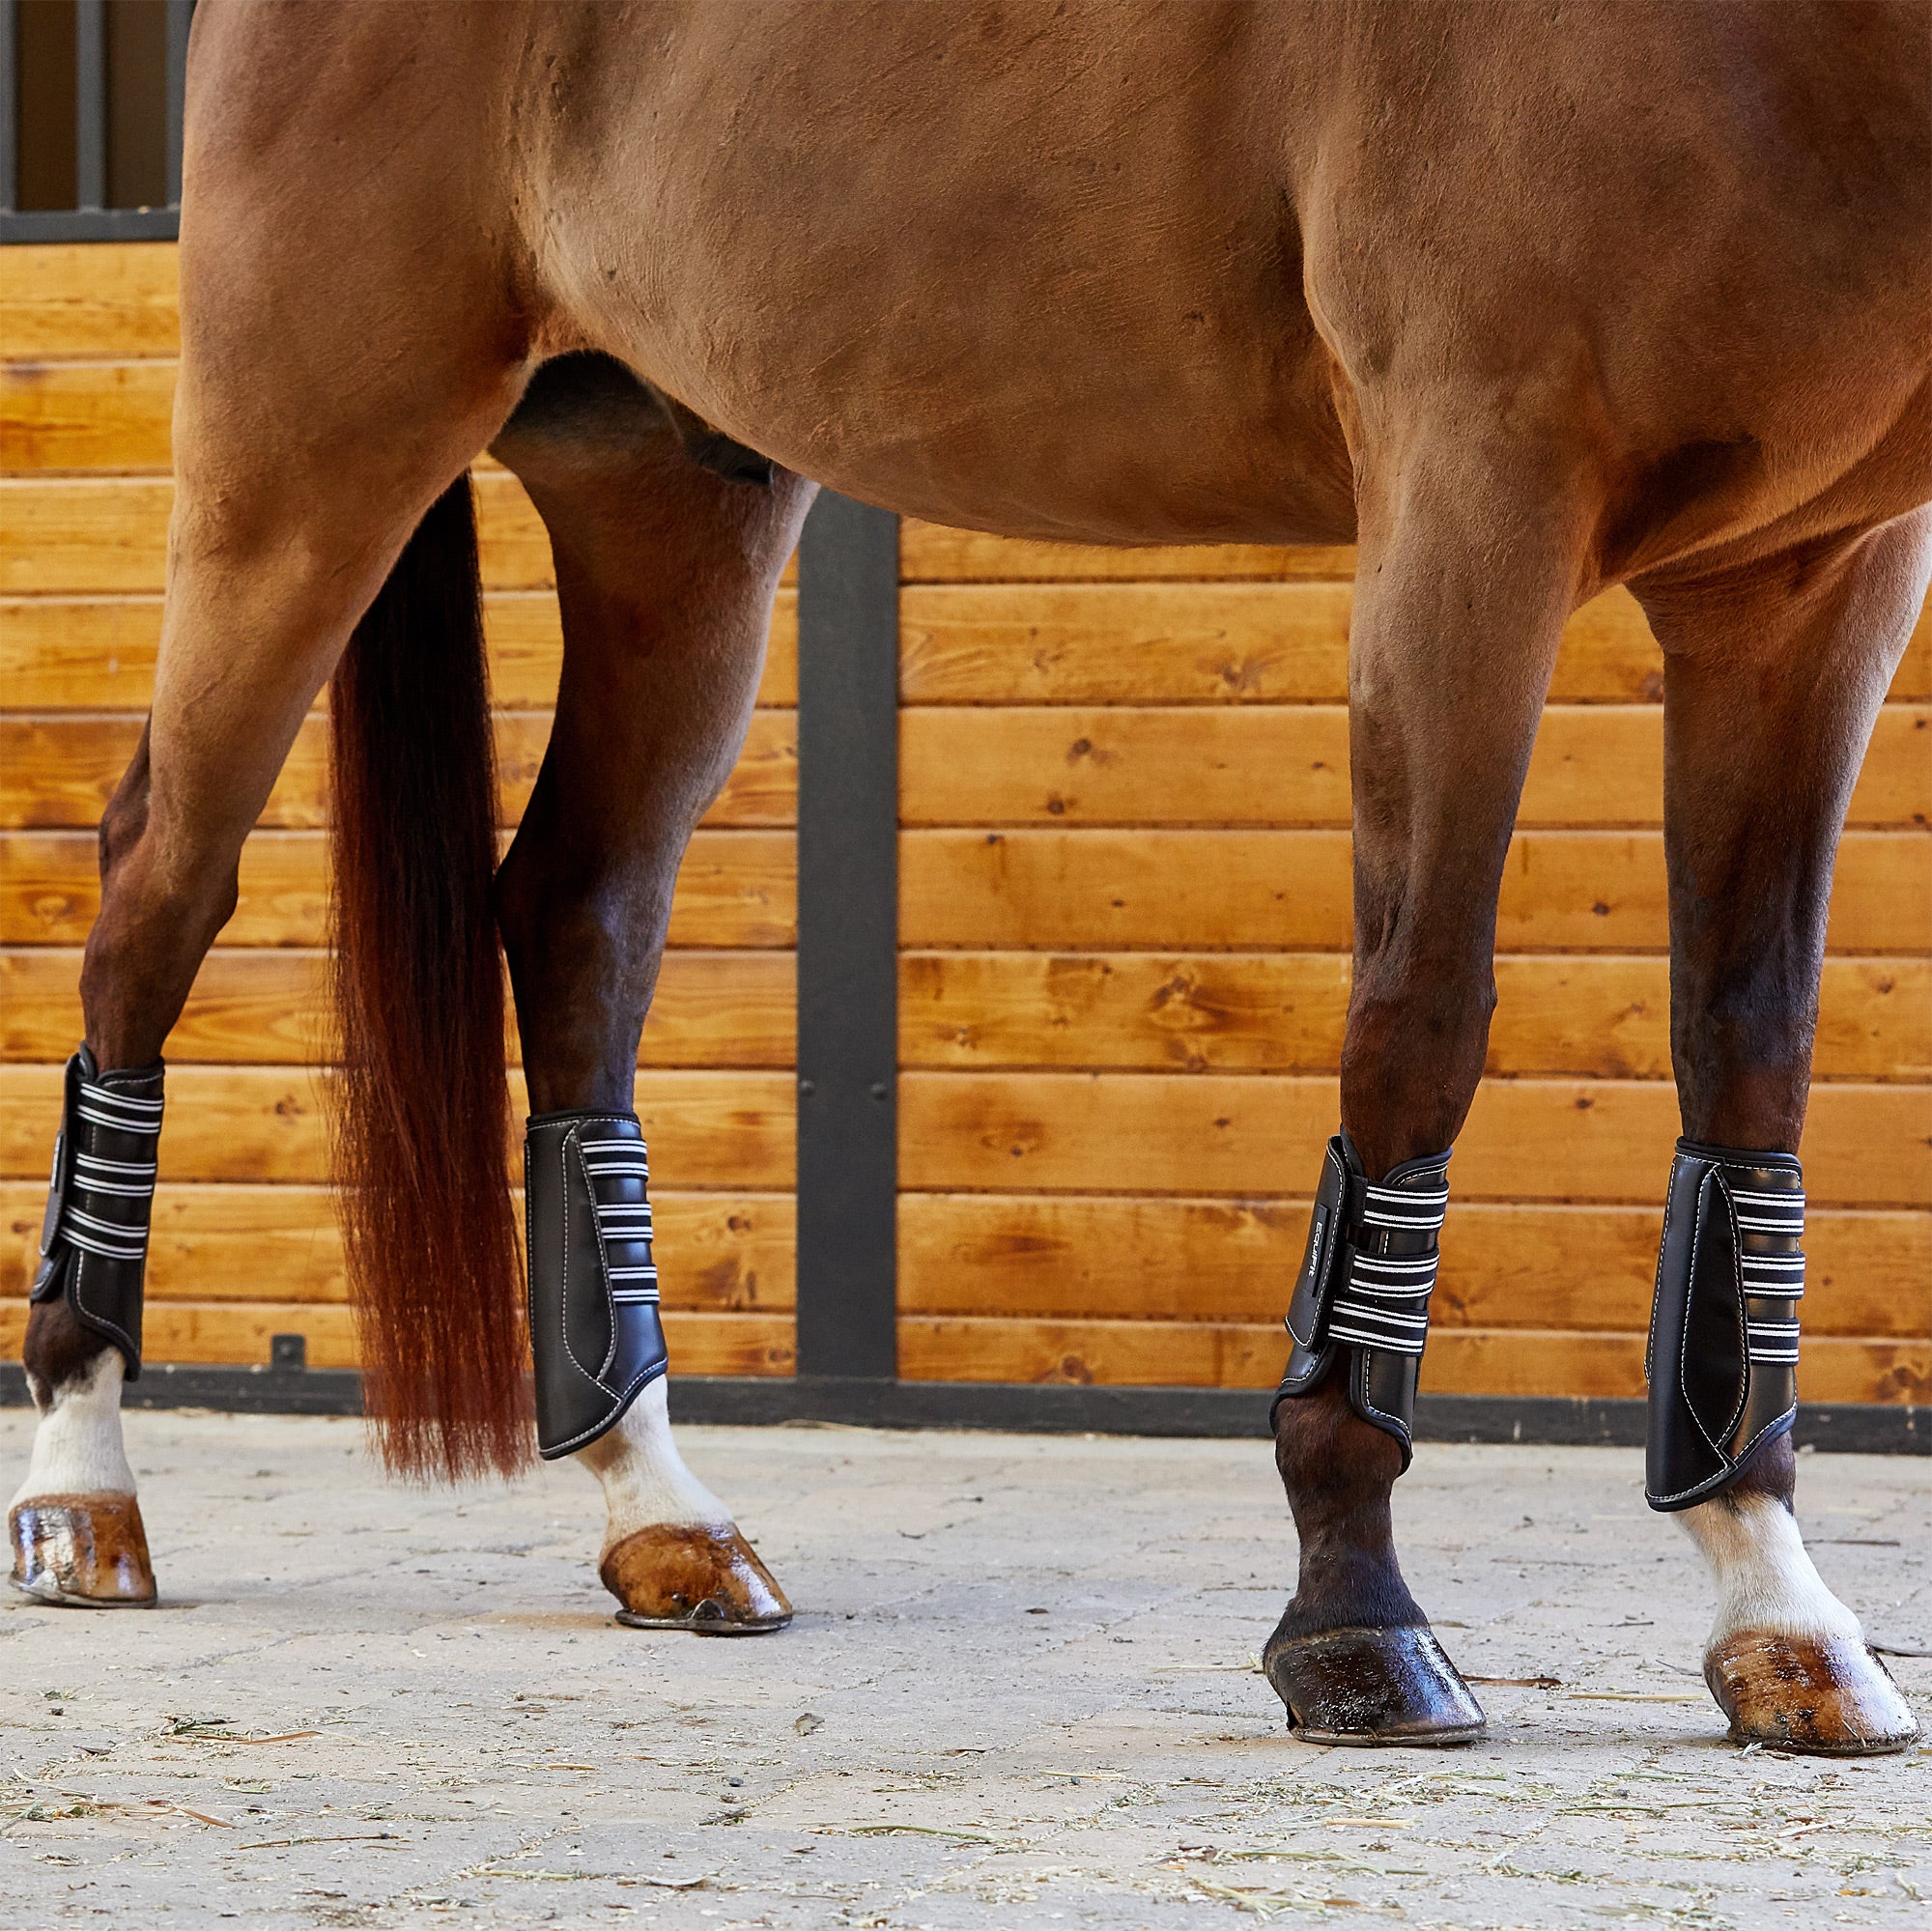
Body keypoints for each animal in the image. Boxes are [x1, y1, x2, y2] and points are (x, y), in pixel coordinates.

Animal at [11, 0, 1926, 1755]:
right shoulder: (1473, 505)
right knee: (155, 895)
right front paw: (1356, 1617)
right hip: (307, 460)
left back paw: (660, 1514)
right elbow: (1420, 1024)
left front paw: (1780, 1614)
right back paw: (85, 1489)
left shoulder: (1810, 581)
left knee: (576, 910)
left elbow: (1752, 1068)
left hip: (672, 497)